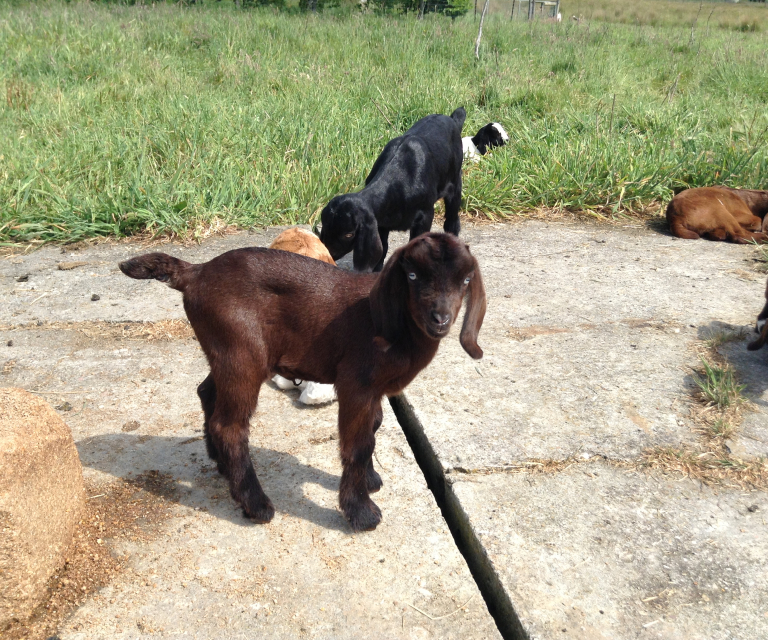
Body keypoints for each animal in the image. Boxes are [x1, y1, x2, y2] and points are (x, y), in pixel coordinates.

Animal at [119, 232, 486, 531]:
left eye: (467, 279)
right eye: (411, 275)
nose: (440, 319)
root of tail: (196, 273)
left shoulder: (375, 389)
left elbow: (374, 428)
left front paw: (370, 480)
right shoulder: (356, 383)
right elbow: (358, 443)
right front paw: (362, 513)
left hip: (226, 351)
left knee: (208, 392)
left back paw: (221, 464)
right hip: (241, 352)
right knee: (230, 425)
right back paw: (256, 505)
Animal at [319, 108, 466, 273]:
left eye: (349, 234)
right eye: (325, 226)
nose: (329, 254)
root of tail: (452, 119)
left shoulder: (425, 215)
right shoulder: (381, 221)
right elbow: (383, 247)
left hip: (455, 183)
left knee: (452, 221)